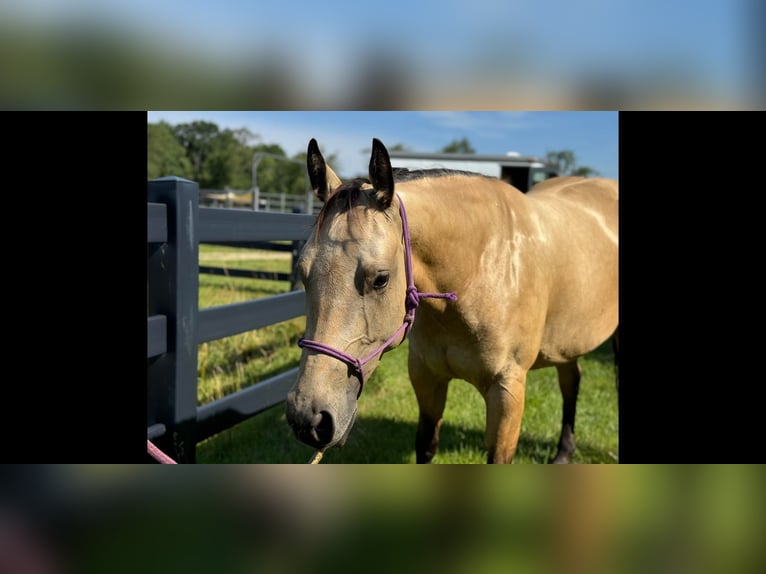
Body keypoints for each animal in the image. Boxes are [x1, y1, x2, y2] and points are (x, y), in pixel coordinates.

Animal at [285, 138, 618, 463]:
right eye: (303, 272)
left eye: (380, 278)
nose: (308, 418)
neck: (479, 270)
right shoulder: (427, 378)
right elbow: (425, 445)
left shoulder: (507, 391)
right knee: (571, 382)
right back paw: (563, 453)